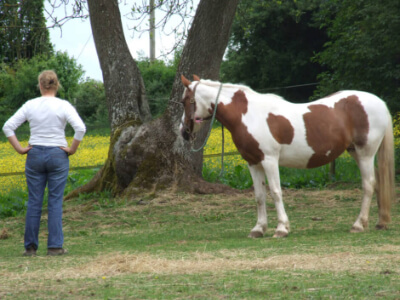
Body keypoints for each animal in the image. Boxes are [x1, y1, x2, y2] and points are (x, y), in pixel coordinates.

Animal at [180, 74, 396, 238]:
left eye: (184, 101)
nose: (183, 132)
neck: (248, 115)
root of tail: (380, 102)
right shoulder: (253, 163)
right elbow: (259, 195)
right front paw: (258, 229)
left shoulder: (269, 160)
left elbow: (276, 192)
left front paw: (282, 229)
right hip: (357, 153)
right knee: (377, 183)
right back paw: (380, 222)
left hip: (365, 153)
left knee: (369, 184)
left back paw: (358, 224)